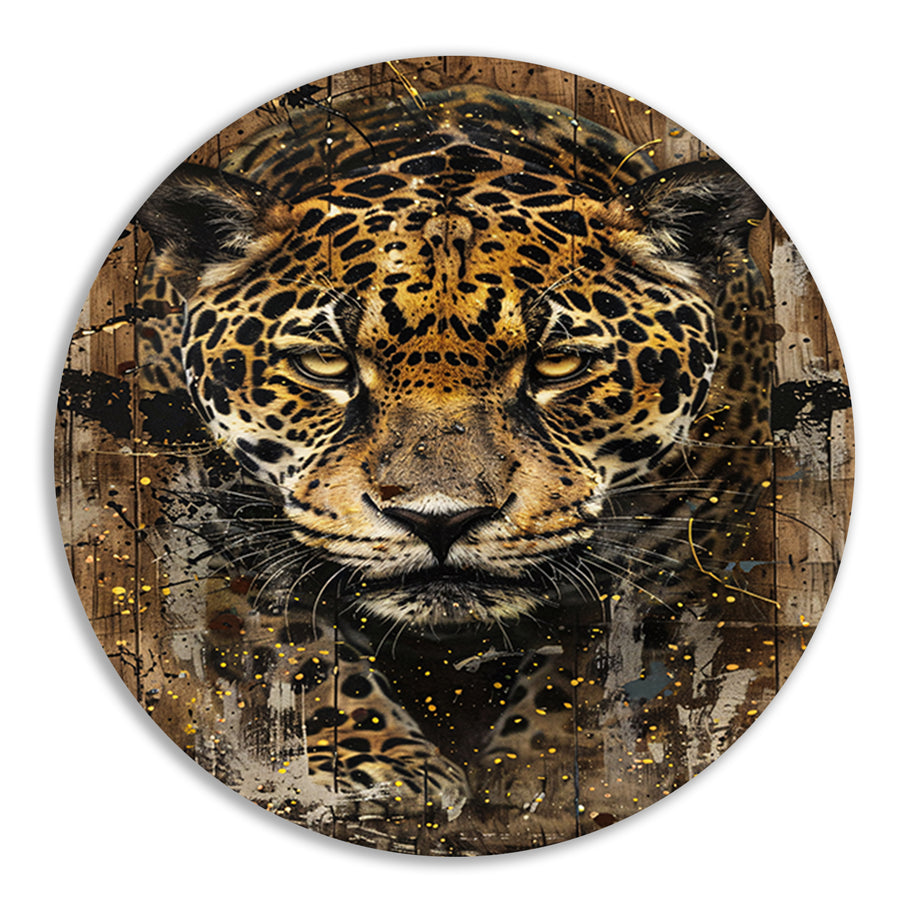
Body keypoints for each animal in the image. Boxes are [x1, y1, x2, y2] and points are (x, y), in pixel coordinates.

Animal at [132, 84, 774, 846]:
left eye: (558, 363)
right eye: (326, 362)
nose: (439, 520)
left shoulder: (680, 546)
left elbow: (599, 663)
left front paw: (549, 771)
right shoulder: (214, 523)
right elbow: (293, 647)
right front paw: (379, 769)